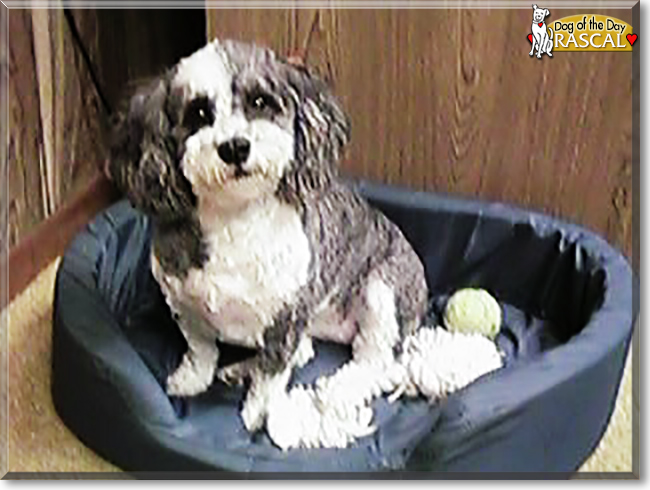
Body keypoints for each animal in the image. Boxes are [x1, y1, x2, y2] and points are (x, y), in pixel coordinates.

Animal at [109, 40, 428, 434]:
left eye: (260, 102)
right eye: (198, 112)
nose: (235, 146)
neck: (235, 217)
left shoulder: (286, 316)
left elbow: (272, 372)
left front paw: (260, 411)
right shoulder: (183, 304)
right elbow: (201, 348)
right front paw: (193, 378)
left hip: (384, 293)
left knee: (375, 362)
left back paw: (338, 389)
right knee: (306, 352)